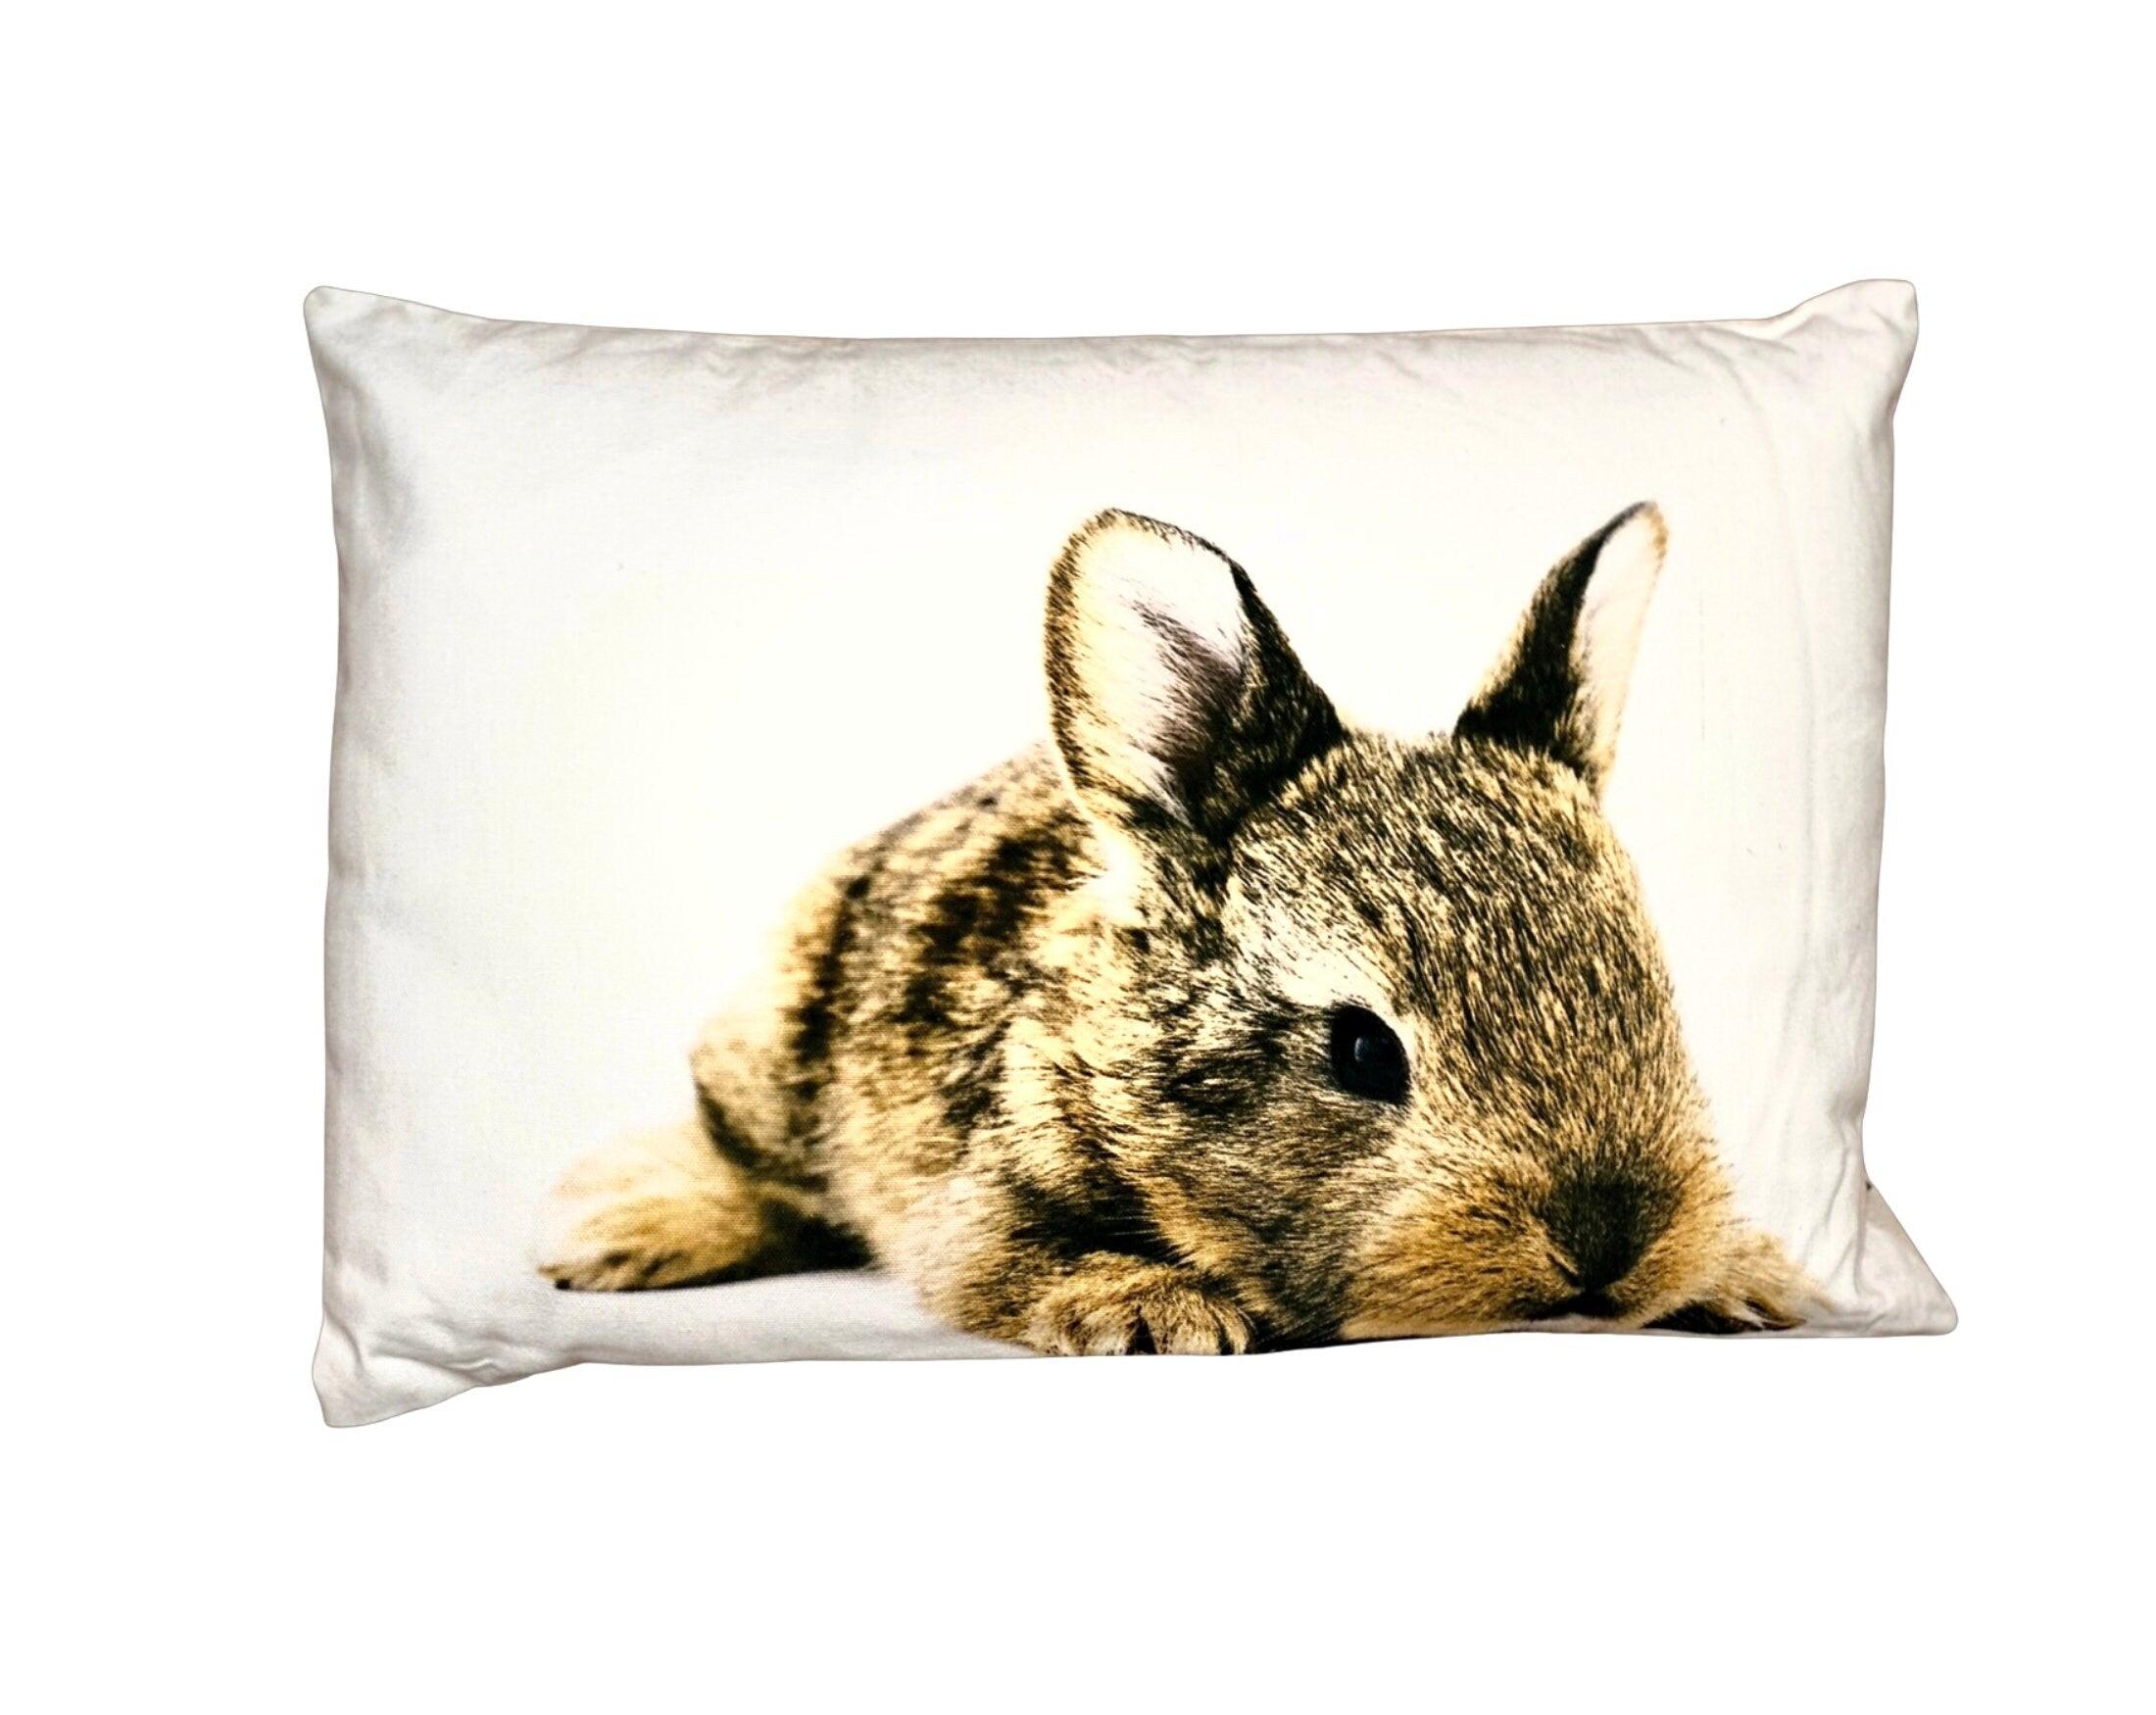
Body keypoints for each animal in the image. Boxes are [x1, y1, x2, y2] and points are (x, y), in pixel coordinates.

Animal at [538, 503, 1819, 1351]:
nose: (1607, 1244)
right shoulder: (978, 1201)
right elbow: (1013, 1263)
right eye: (1364, 1050)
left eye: (1655, 998)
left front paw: (1748, 1277)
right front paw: (1157, 1314)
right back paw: (616, 1235)